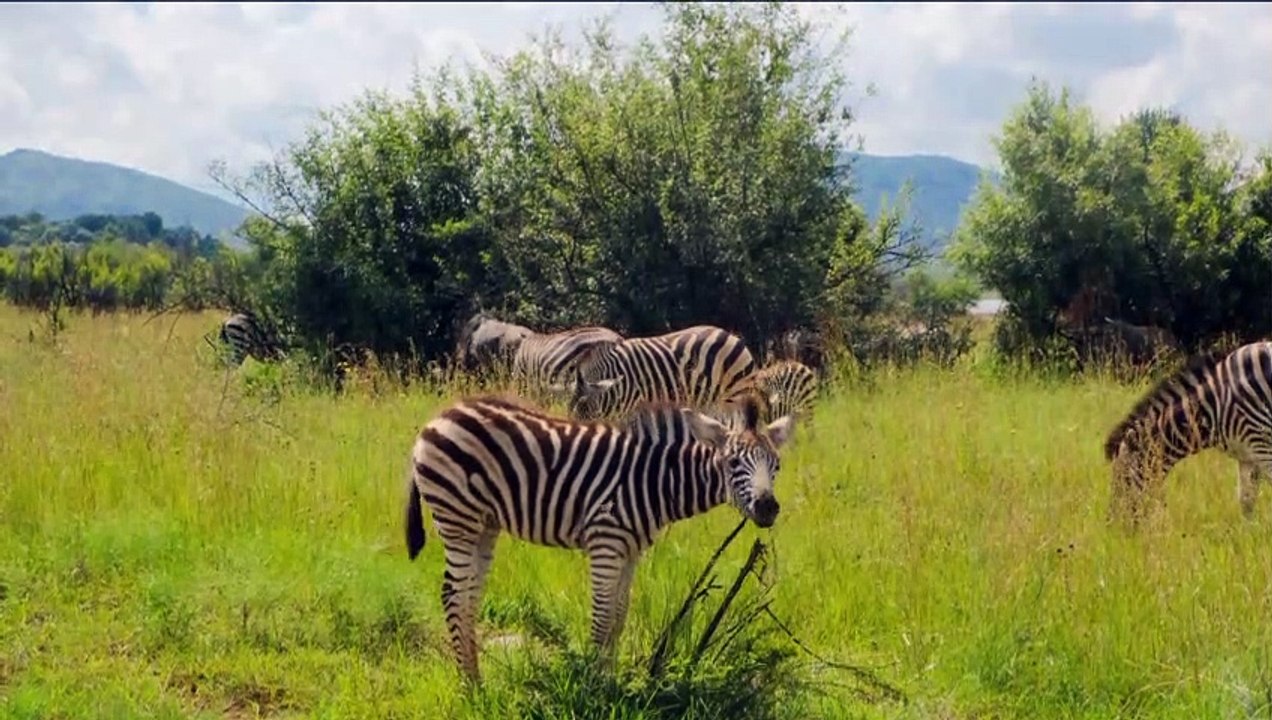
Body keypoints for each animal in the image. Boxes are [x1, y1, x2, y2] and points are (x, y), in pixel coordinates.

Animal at [404, 392, 796, 683]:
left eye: (777, 466)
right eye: (732, 463)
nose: (767, 508)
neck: (654, 480)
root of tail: (440, 417)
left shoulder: (632, 548)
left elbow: (619, 617)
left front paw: (609, 681)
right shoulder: (605, 541)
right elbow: (603, 617)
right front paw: (592, 686)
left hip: (485, 524)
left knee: (469, 596)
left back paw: (475, 678)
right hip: (458, 519)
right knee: (453, 596)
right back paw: (470, 688)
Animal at [1103, 341, 1272, 524]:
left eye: (1125, 479)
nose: (1112, 525)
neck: (1214, 406)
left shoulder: (1262, 444)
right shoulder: (1247, 455)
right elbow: (1246, 502)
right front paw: (1248, 531)